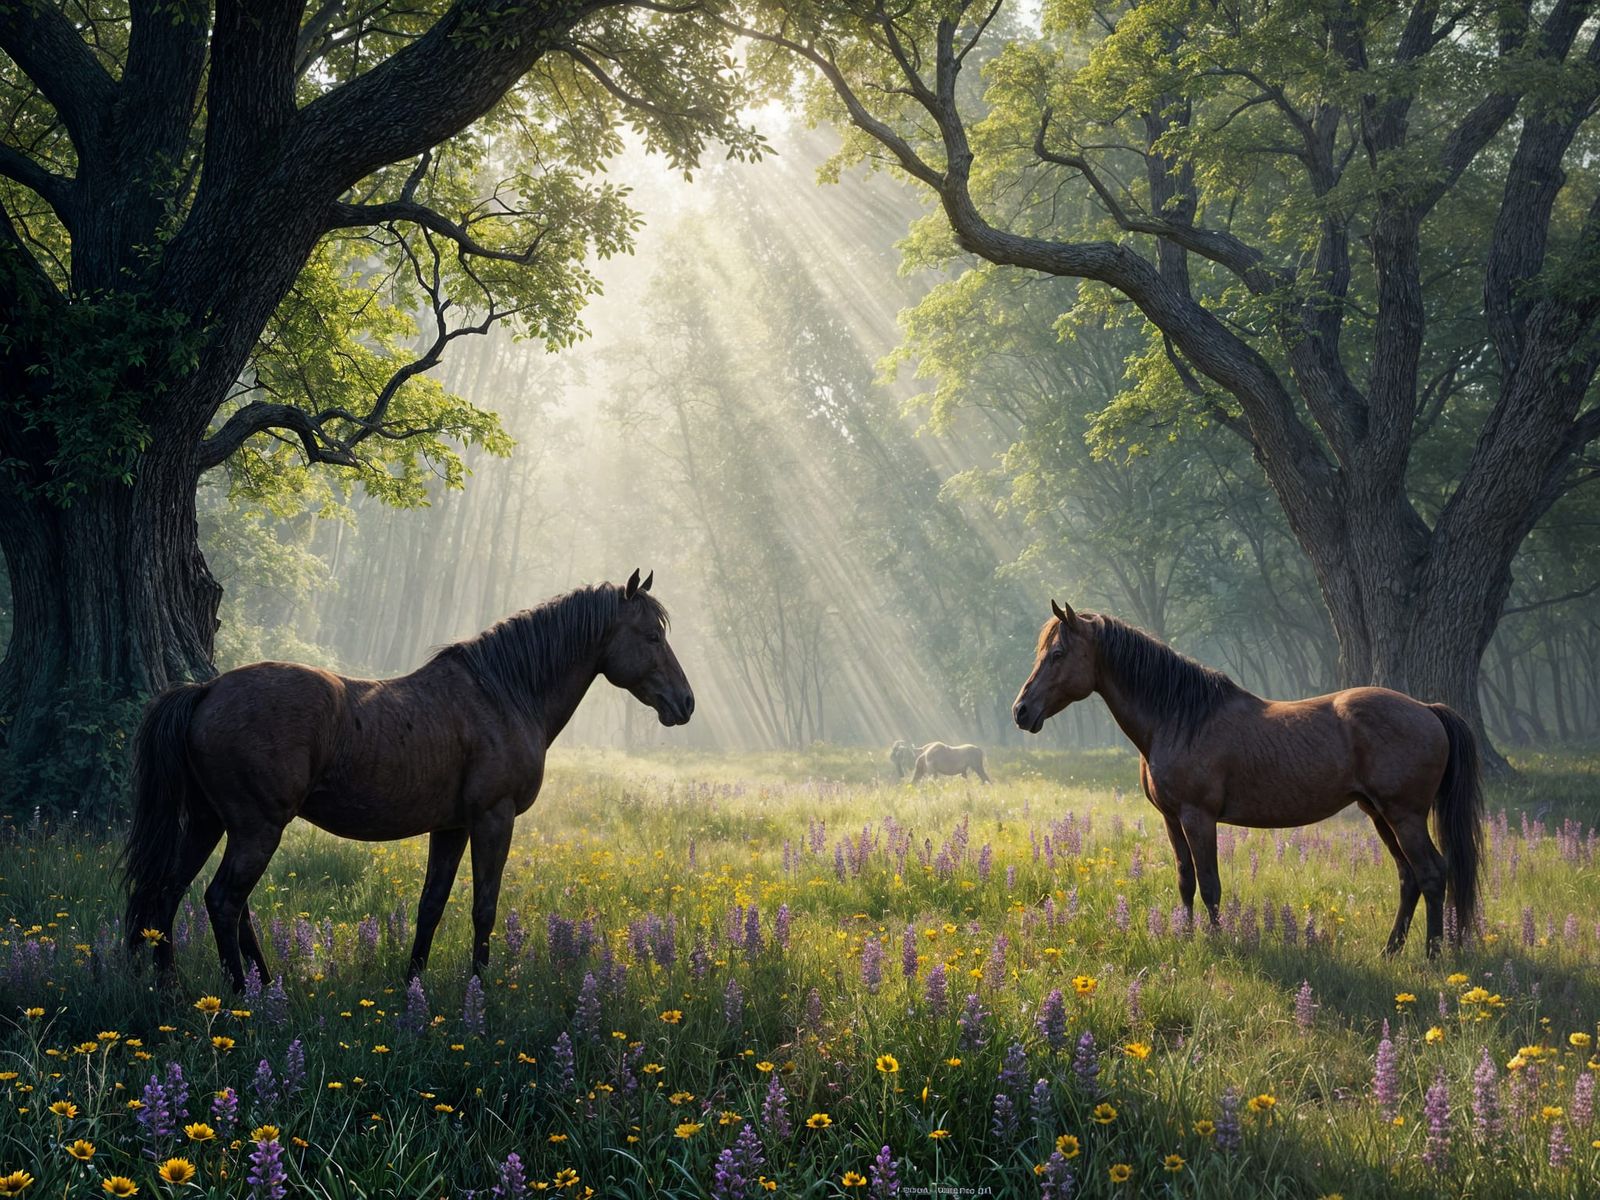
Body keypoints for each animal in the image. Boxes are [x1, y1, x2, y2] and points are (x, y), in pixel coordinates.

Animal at [122, 569, 694, 991]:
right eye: (651, 635)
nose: (685, 703)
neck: (504, 694)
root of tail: (207, 690)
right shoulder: (493, 819)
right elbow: (483, 908)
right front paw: (478, 989)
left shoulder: (451, 827)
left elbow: (431, 906)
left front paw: (413, 984)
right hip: (255, 830)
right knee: (223, 901)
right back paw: (244, 996)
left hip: (208, 823)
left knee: (172, 892)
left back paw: (189, 986)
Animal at [1010, 600, 1482, 958]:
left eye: (1058, 654)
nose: (1020, 711)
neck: (1180, 718)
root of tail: (1428, 709)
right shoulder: (1171, 818)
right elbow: (1185, 880)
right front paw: (1186, 938)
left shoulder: (1199, 816)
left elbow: (1210, 885)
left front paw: (1218, 943)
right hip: (1380, 815)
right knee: (1408, 878)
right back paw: (1390, 950)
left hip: (1404, 816)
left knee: (1432, 874)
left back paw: (1432, 955)